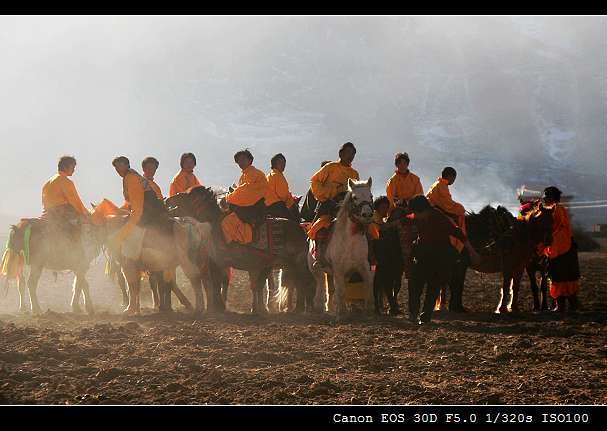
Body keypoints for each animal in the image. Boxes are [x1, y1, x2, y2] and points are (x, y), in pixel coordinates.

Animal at [308, 177, 376, 318]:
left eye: (371, 196)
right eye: (355, 197)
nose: (367, 214)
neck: (350, 241)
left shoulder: (363, 265)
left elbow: (368, 283)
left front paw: (369, 309)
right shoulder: (338, 269)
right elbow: (340, 290)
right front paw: (341, 312)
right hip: (316, 269)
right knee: (320, 284)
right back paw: (319, 307)